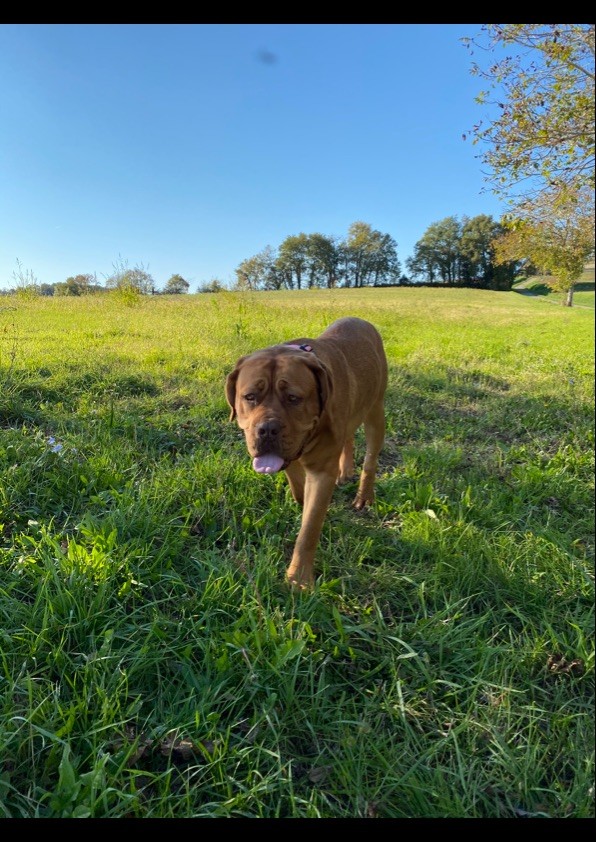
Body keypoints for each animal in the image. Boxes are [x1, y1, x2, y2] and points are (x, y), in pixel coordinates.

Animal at [226, 316, 388, 584]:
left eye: (293, 398)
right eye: (249, 397)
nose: (267, 429)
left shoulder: (321, 473)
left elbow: (310, 528)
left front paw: (298, 579)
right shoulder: (291, 464)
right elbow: (300, 493)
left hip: (376, 411)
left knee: (370, 459)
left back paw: (364, 496)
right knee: (348, 436)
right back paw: (346, 471)